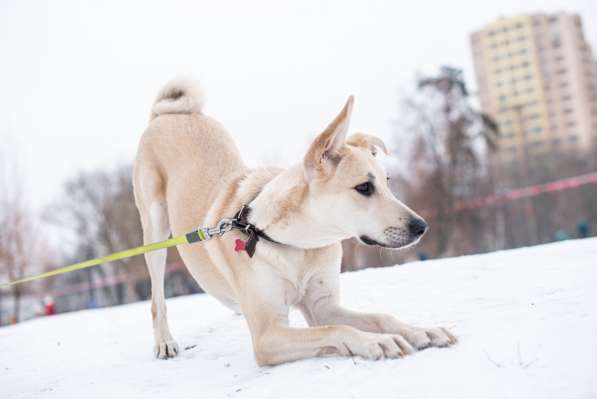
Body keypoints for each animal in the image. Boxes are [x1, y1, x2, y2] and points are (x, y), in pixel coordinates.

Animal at [133, 79, 454, 368]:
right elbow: (337, 330)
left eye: (388, 182)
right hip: (155, 233)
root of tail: (165, 116)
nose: (421, 227)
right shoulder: (268, 335)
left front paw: (420, 331)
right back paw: (164, 341)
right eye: (364, 187)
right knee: (157, 298)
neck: (299, 244)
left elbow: (379, 317)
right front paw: (378, 342)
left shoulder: (323, 306)